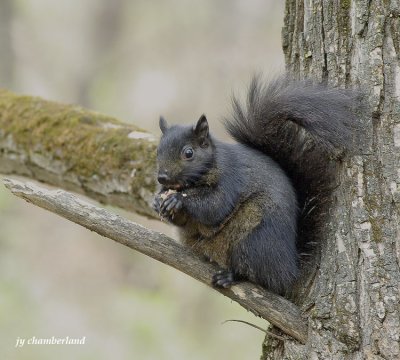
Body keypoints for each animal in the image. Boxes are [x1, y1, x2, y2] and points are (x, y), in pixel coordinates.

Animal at [152, 74, 356, 294]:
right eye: (158, 150)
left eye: (188, 153)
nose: (162, 178)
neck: (194, 182)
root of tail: (288, 268)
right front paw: (157, 202)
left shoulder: (231, 179)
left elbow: (215, 207)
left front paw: (177, 200)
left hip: (254, 240)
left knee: (257, 275)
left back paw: (231, 276)